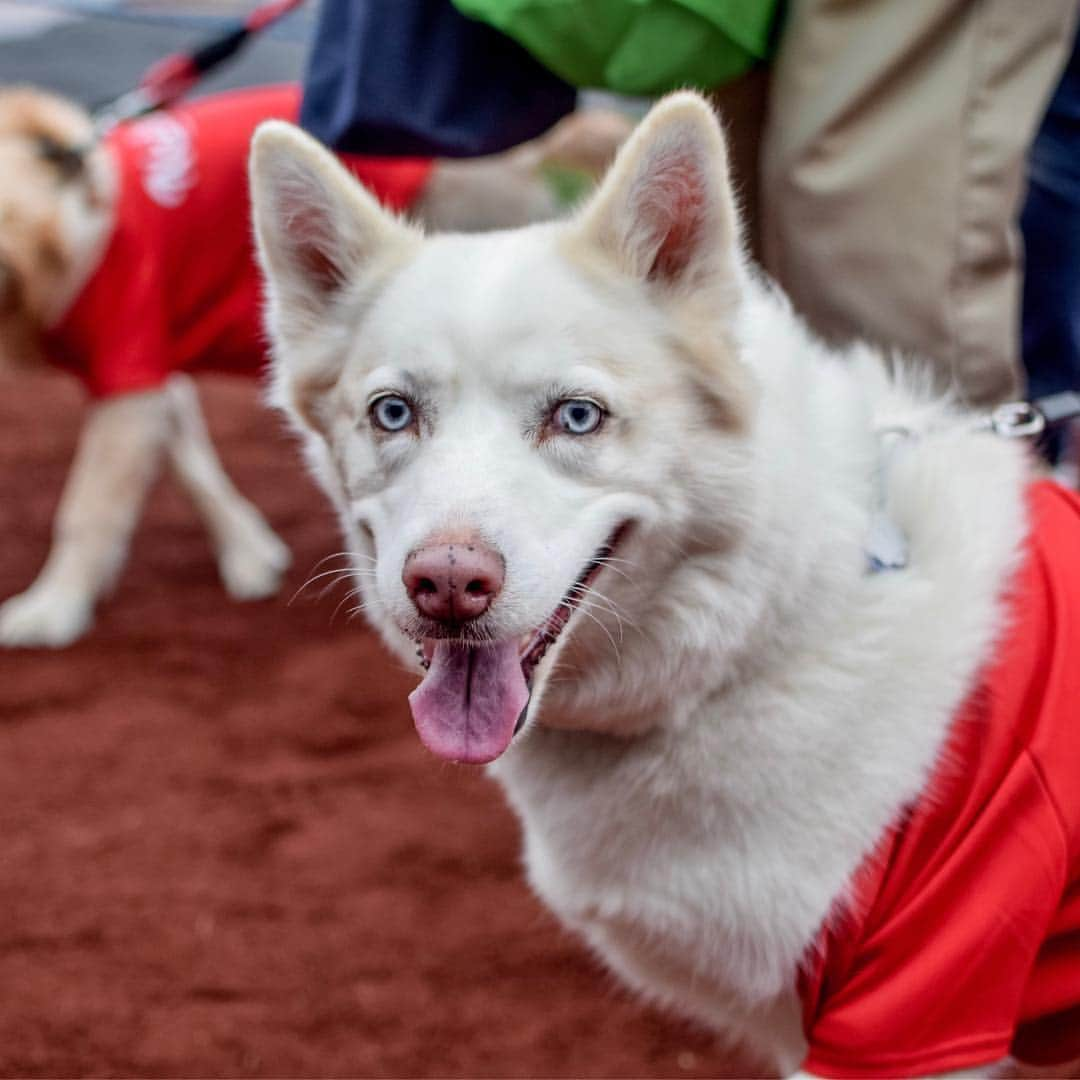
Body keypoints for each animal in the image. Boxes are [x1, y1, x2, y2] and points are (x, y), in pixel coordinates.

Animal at [0, 84, 630, 643]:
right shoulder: (154, 374)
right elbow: (193, 463)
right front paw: (247, 551)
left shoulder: (130, 365)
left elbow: (88, 504)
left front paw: (53, 609)